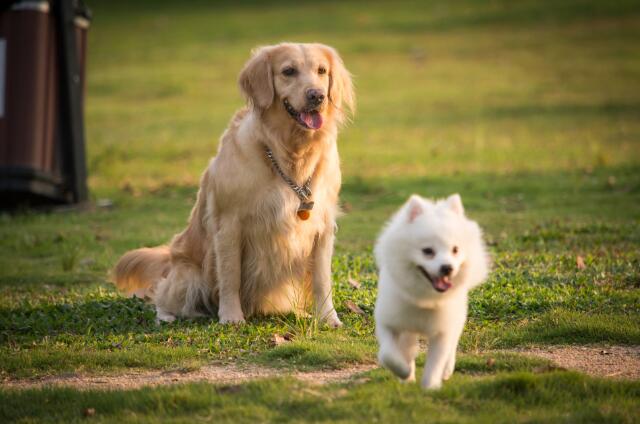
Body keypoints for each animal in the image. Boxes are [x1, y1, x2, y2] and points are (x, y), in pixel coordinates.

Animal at [372, 194, 488, 390]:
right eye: (427, 251)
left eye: (455, 250)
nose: (447, 268)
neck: (425, 299)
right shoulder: (388, 322)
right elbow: (388, 354)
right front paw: (404, 371)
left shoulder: (442, 331)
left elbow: (436, 362)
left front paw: (430, 387)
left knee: (452, 345)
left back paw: (447, 370)